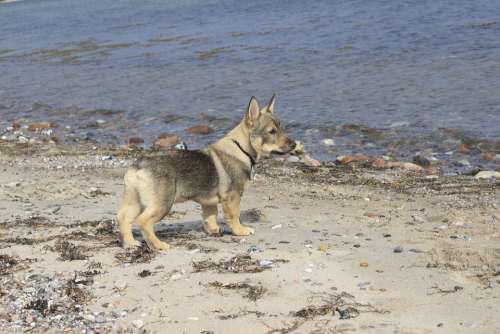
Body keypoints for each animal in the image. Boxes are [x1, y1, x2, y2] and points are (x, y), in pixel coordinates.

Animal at [116, 95, 296, 249]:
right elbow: (234, 215)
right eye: (272, 131)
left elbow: (210, 215)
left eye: (281, 128)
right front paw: (240, 231)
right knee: (144, 222)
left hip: (135, 201)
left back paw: (130, 243)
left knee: (123, 217)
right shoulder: (233, 196)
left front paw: (213, 230)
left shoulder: (208, 202)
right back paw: (158, 245)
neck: (241, 148)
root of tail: (138, 166)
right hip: (162, 204)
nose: (294, 145)